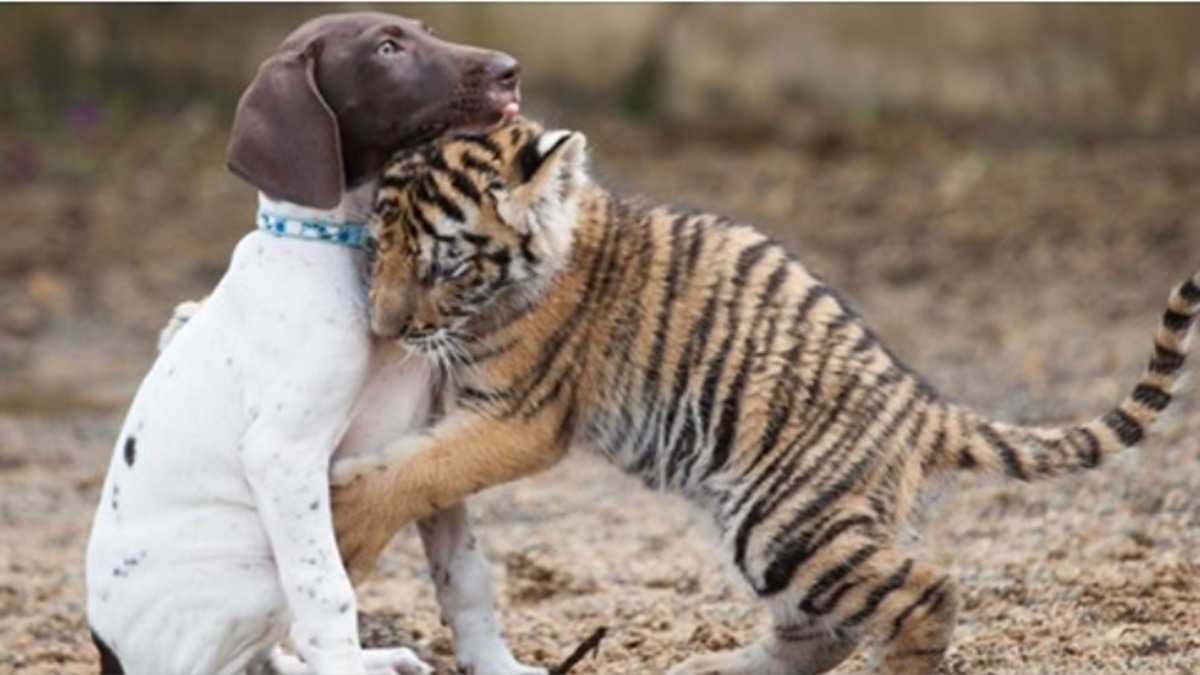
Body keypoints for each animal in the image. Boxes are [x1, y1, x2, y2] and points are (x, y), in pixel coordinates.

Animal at [87, 14, 547, 672]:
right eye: (387, 48)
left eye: (425, 29)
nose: (509, 69)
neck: (347, 250)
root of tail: (109, 653)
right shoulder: (283, 455)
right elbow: (327, 593)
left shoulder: (424, 441)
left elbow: (465, 574)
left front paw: (495, 664)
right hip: (252, 570)